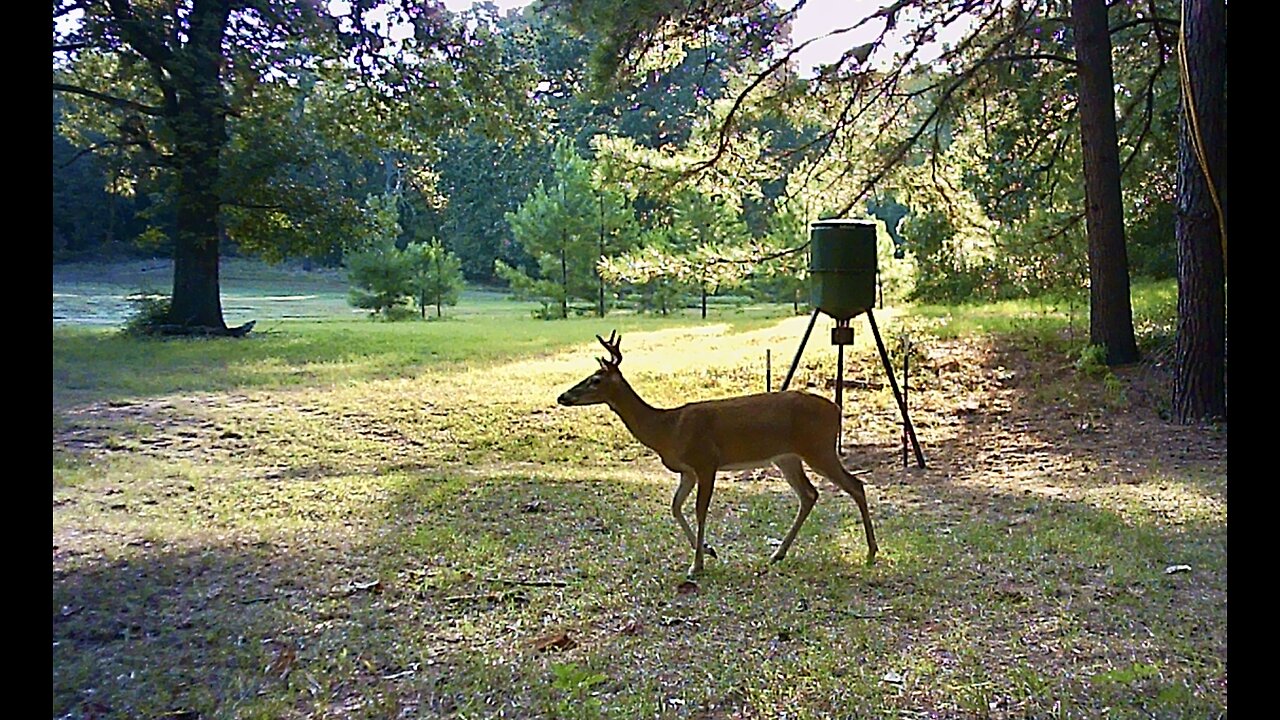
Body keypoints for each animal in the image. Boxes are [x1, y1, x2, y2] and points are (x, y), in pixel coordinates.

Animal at [556, 331, 878, 577]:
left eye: (596, 379)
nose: (563, 396)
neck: (667, 428)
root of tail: (837, 409)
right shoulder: (687, 470)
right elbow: (675, 507)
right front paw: (708, 551)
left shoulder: (706, 461)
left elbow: (700, 510)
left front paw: (696, 565)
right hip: (787, 457)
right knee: (810, 494)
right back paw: (778, 554)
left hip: (818, 448)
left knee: (855, 485)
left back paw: (872, 552)